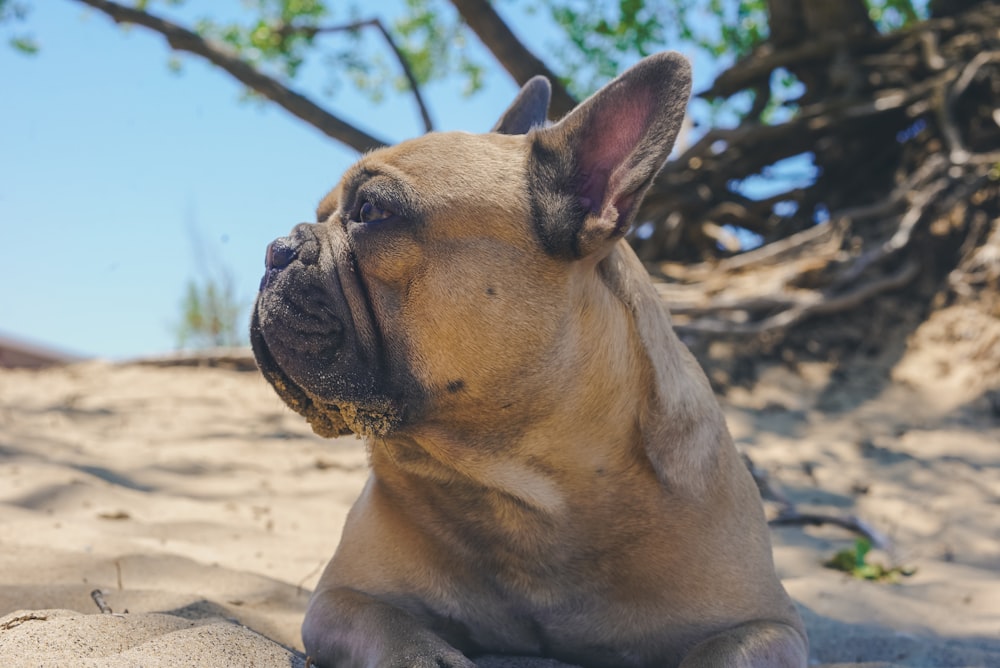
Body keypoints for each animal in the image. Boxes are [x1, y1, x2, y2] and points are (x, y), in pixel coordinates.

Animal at [254, 52, 808, 668]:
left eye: (372, 211)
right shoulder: (343, 599)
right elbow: (395, 629)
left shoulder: (768, 626)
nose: (276, 249)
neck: (519, 482)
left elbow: (718, 653)